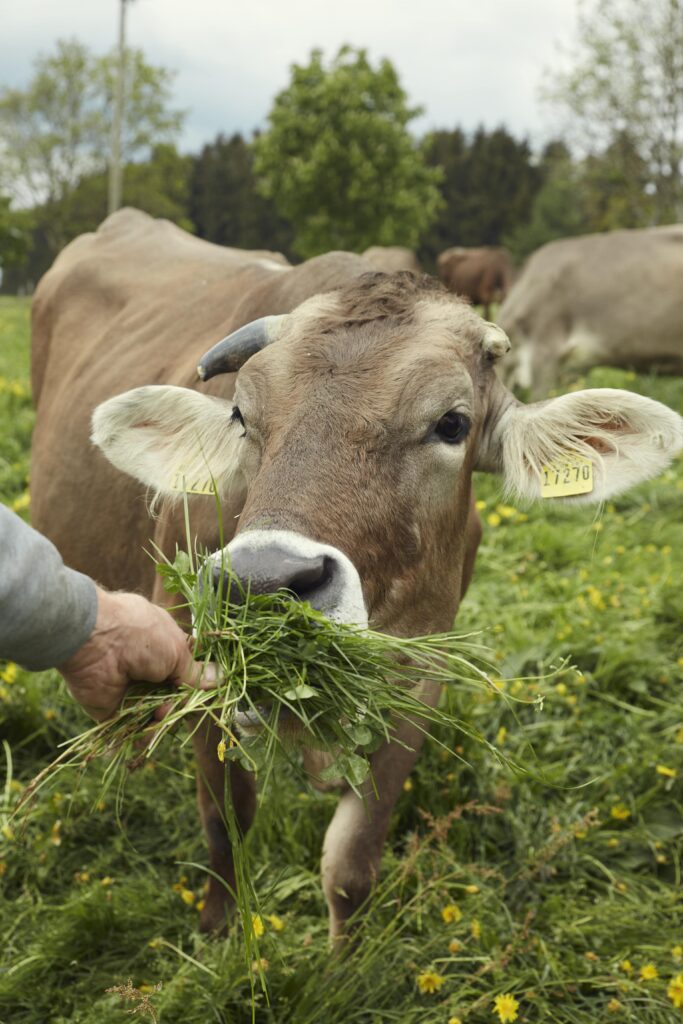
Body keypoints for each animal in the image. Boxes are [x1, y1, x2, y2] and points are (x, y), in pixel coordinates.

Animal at [30, 207, 683, 942]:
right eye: (242, 416)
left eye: (451, 423)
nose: (261, 585)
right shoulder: (198, 658)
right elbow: (226, 818)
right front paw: (220, 929)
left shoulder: (420, 674)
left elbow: (351, 862)